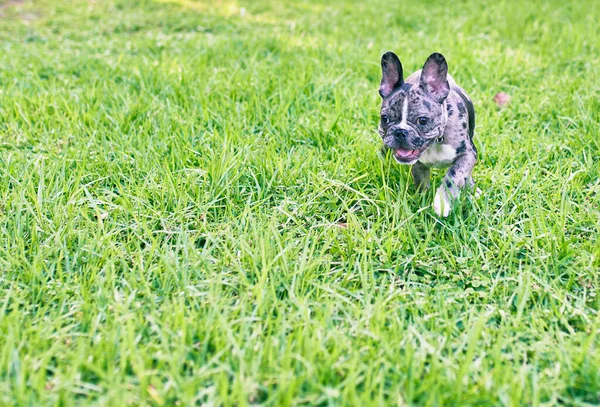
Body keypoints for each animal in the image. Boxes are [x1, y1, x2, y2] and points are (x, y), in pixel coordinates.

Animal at [380, 51, 478, 217]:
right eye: (384, 118)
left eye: (423, 120)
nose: (400, 131)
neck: (436, 141)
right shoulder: (417, 165)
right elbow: (421, 183)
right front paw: (423, 201)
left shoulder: (468, 154)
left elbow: (455, 175)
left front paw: (442, 201)